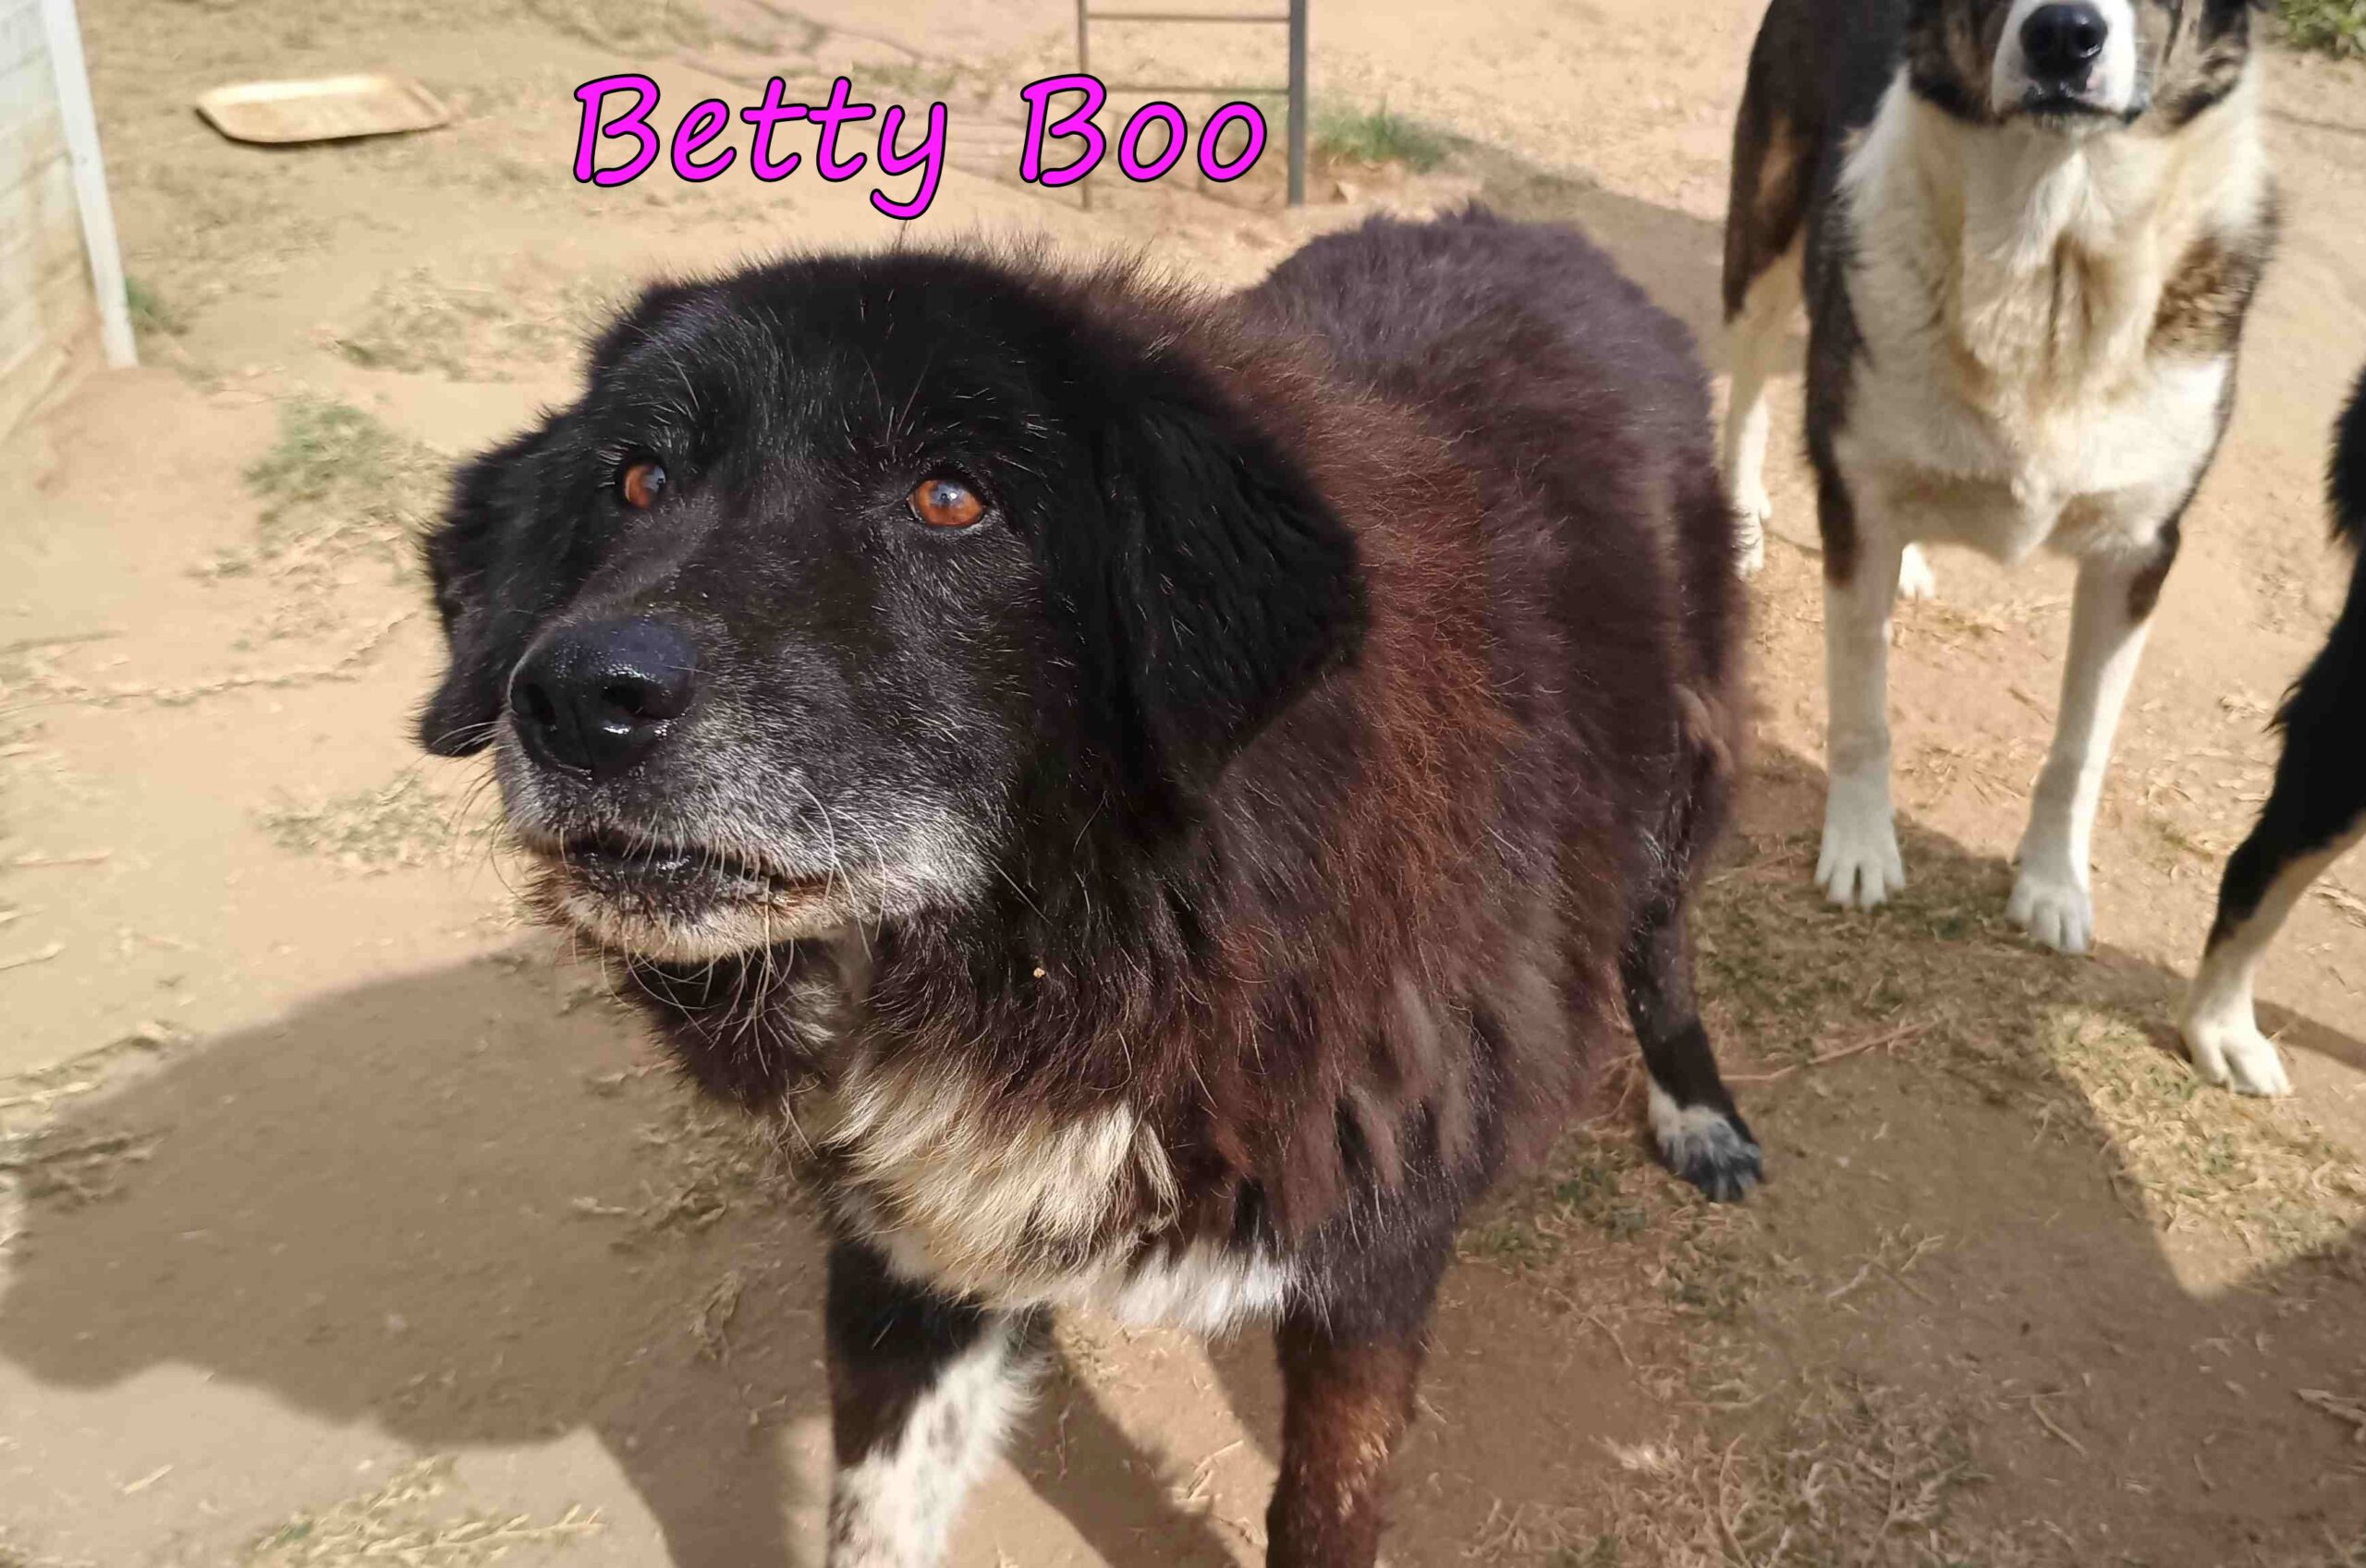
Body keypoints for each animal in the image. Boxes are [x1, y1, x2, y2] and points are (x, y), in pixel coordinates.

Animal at [413, 210, 1762, 1567]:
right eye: (635, 480)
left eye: (951, 496)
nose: (578, 699)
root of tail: (1523, 227)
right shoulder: (915, 1245)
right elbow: (873, 1520)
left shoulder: (1373, 1254)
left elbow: (1325, 1508)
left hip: (1679, 780)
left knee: (1660, 945)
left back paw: (1700, 1110)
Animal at [1722, 0, 2275, 951]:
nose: (2063, 35)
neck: (2050, 259)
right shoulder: (1854, 502)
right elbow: (1862, 709)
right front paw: (1860, 849)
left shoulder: (2139, 553)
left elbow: (2081, 750)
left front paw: (2053, 886)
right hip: (1767, 233)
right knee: (1747, 384)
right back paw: (1741, 517)